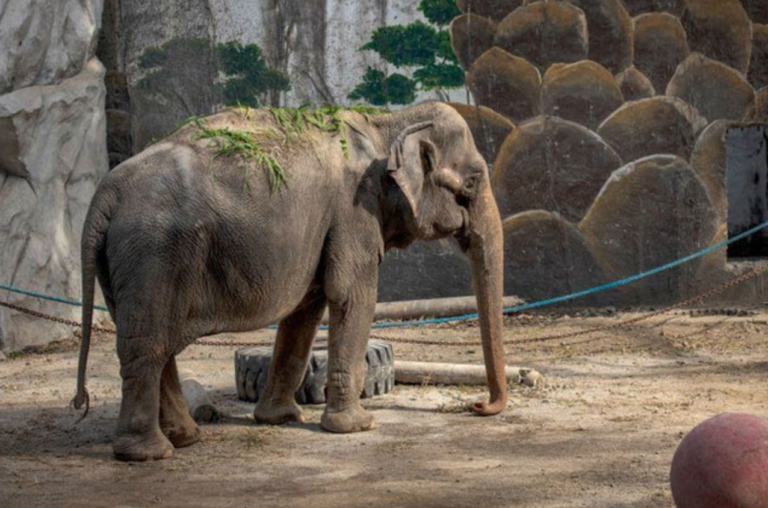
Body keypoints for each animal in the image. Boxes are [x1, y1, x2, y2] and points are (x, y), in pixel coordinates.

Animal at [71, 101, 508, 461]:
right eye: (471, 183)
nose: (478, 407)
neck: (387, 121)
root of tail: (105, 193)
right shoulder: (353, 209)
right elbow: (352, 296)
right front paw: (356, 427)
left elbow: (305, 311)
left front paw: (278, 418)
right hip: (154, 253)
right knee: (148, 346)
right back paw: (149, 453)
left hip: (127, 263)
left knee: (152, 341)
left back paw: (185, 438)